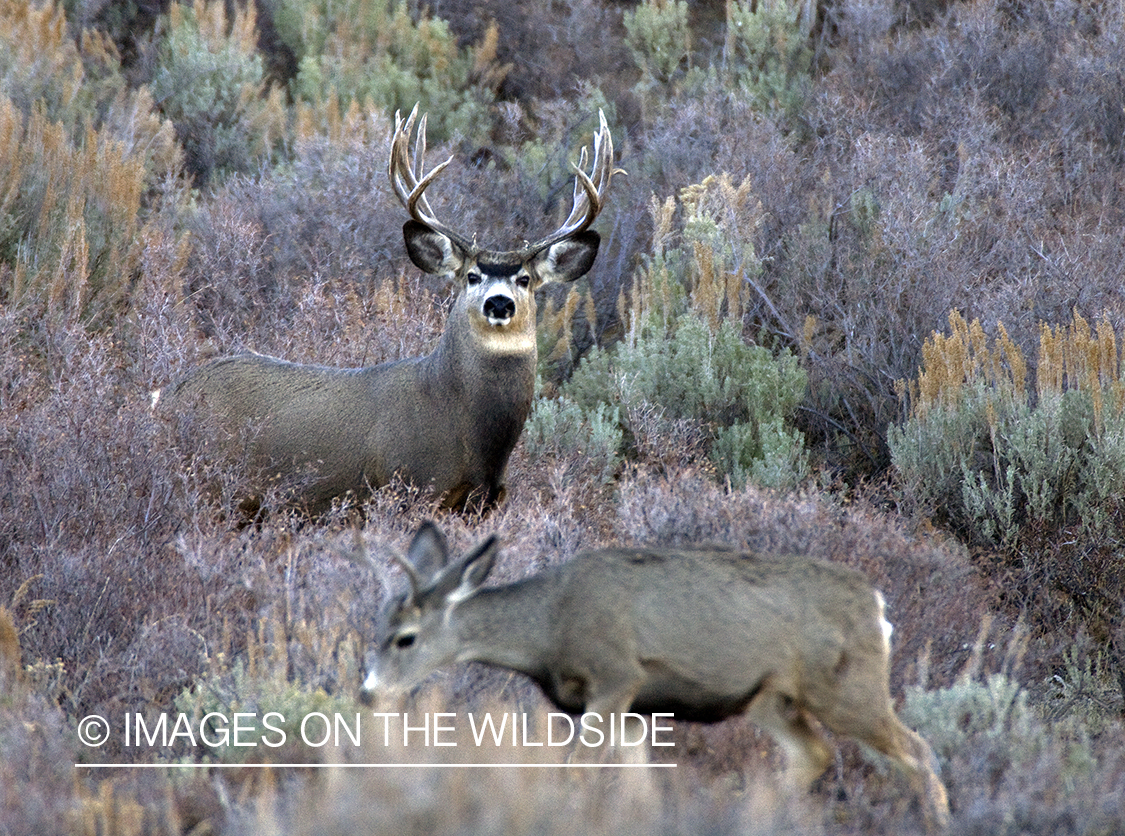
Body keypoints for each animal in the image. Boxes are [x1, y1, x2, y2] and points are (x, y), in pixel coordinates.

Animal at [153, 107, 617, 515]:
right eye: (471, 276)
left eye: (524, 279)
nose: (499, 303)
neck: (466, 426)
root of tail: (170, 395)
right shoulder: (410, 484)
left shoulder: (483, 502)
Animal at [360, 521, 952, 831]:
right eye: (377, 625)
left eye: (404, 638)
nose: (367, 694)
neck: (550, 626)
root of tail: (877, 605)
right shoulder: (632, 708)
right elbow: (638, 786)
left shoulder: (615, 676)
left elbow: (575, 772)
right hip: (772, 699)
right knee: (817, 754)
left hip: (848, 688)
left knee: (918, 751)